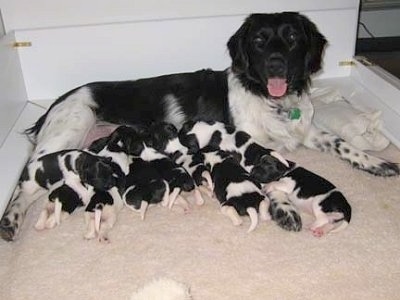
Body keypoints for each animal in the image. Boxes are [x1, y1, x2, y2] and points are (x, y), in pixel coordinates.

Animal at [1, 12, 398, 241]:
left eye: (292, 38)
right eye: (259, 40)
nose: (276, 65)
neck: (269, 97)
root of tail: (59, 100)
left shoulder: (307, 130)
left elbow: (343, 144)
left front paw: (377, 163)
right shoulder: (249, 145)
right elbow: (269, 177)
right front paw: (283, 208)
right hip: (67, 133)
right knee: (24, 184)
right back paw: (12, 220)